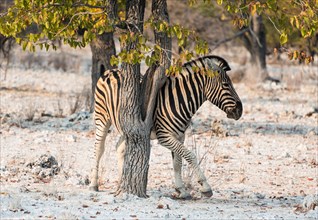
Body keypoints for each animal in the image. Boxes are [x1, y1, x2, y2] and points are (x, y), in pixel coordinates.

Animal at [89, 55, 243, 199]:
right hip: (102, 117)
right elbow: (190, 155)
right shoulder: (164, 136)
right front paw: (205, 187)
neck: (179, 100)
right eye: (226, 84)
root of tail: (111, 70)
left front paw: (181, 190)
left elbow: (178, 162)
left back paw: (121, 183)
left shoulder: (180, 136)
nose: (240, 111)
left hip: (127, 124)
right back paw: (93, 184)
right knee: (98, 149)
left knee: (119, 147)